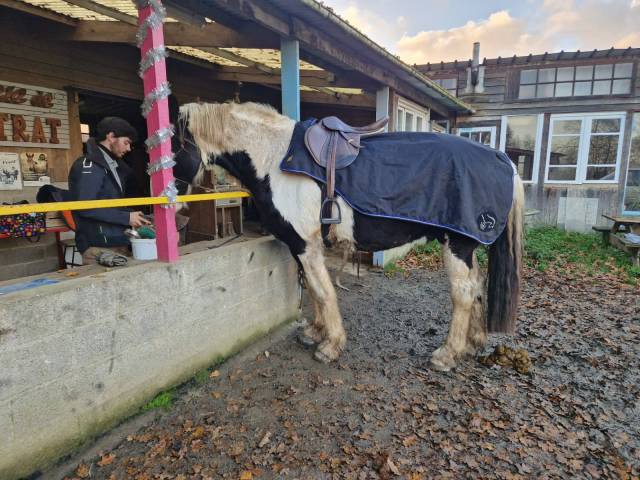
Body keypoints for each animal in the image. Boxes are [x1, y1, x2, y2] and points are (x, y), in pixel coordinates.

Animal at [173, 101, 524, 372]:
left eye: (172, 148)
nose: (174, 206)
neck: (275, 159)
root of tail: (502, 159)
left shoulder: (306, 245)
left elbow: (322, 292)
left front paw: (330, 345)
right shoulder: (299, 246)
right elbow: (313, 291)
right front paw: (315, 332)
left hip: (458, 245)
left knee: (463, 293)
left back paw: (447, 354)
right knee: (476, 287)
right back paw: (474, 342)